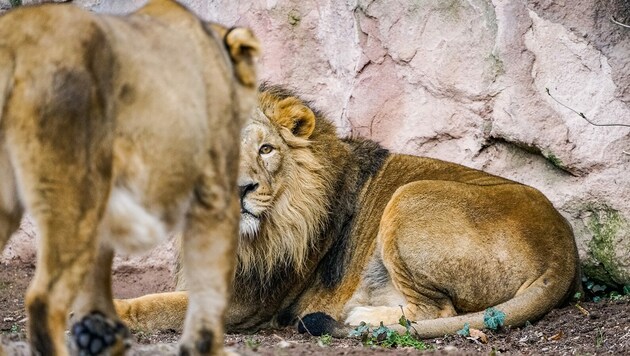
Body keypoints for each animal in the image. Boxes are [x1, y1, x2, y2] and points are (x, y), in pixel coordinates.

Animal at [0, 1, 260, 354]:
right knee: (45, 299)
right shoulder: (216, 193)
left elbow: (98, 274)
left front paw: (100, 333)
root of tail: (14, 40)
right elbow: (210, 289)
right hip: (76, 193)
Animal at [115, 85, 584, 340]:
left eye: (266, 149)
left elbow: (150, 306)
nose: (240, 189)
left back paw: (360, 316)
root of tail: (563, 248)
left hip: (409, 196)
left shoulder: (243, 302)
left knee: (438, 313)